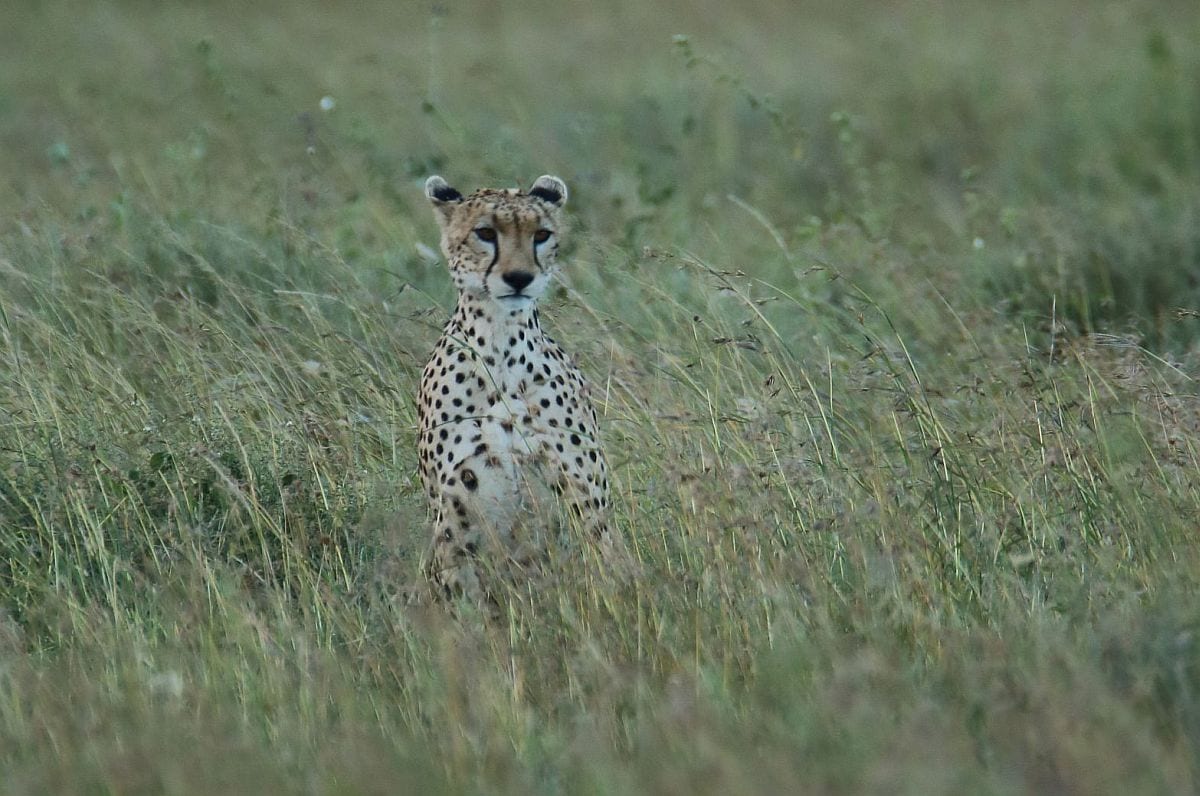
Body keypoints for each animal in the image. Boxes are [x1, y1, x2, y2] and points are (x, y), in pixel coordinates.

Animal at [420, 174, 609, 605]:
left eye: (541, 235)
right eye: (485, 233)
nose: (519, 278)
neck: (499, 342)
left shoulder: (581, 492)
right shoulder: (456, 510)